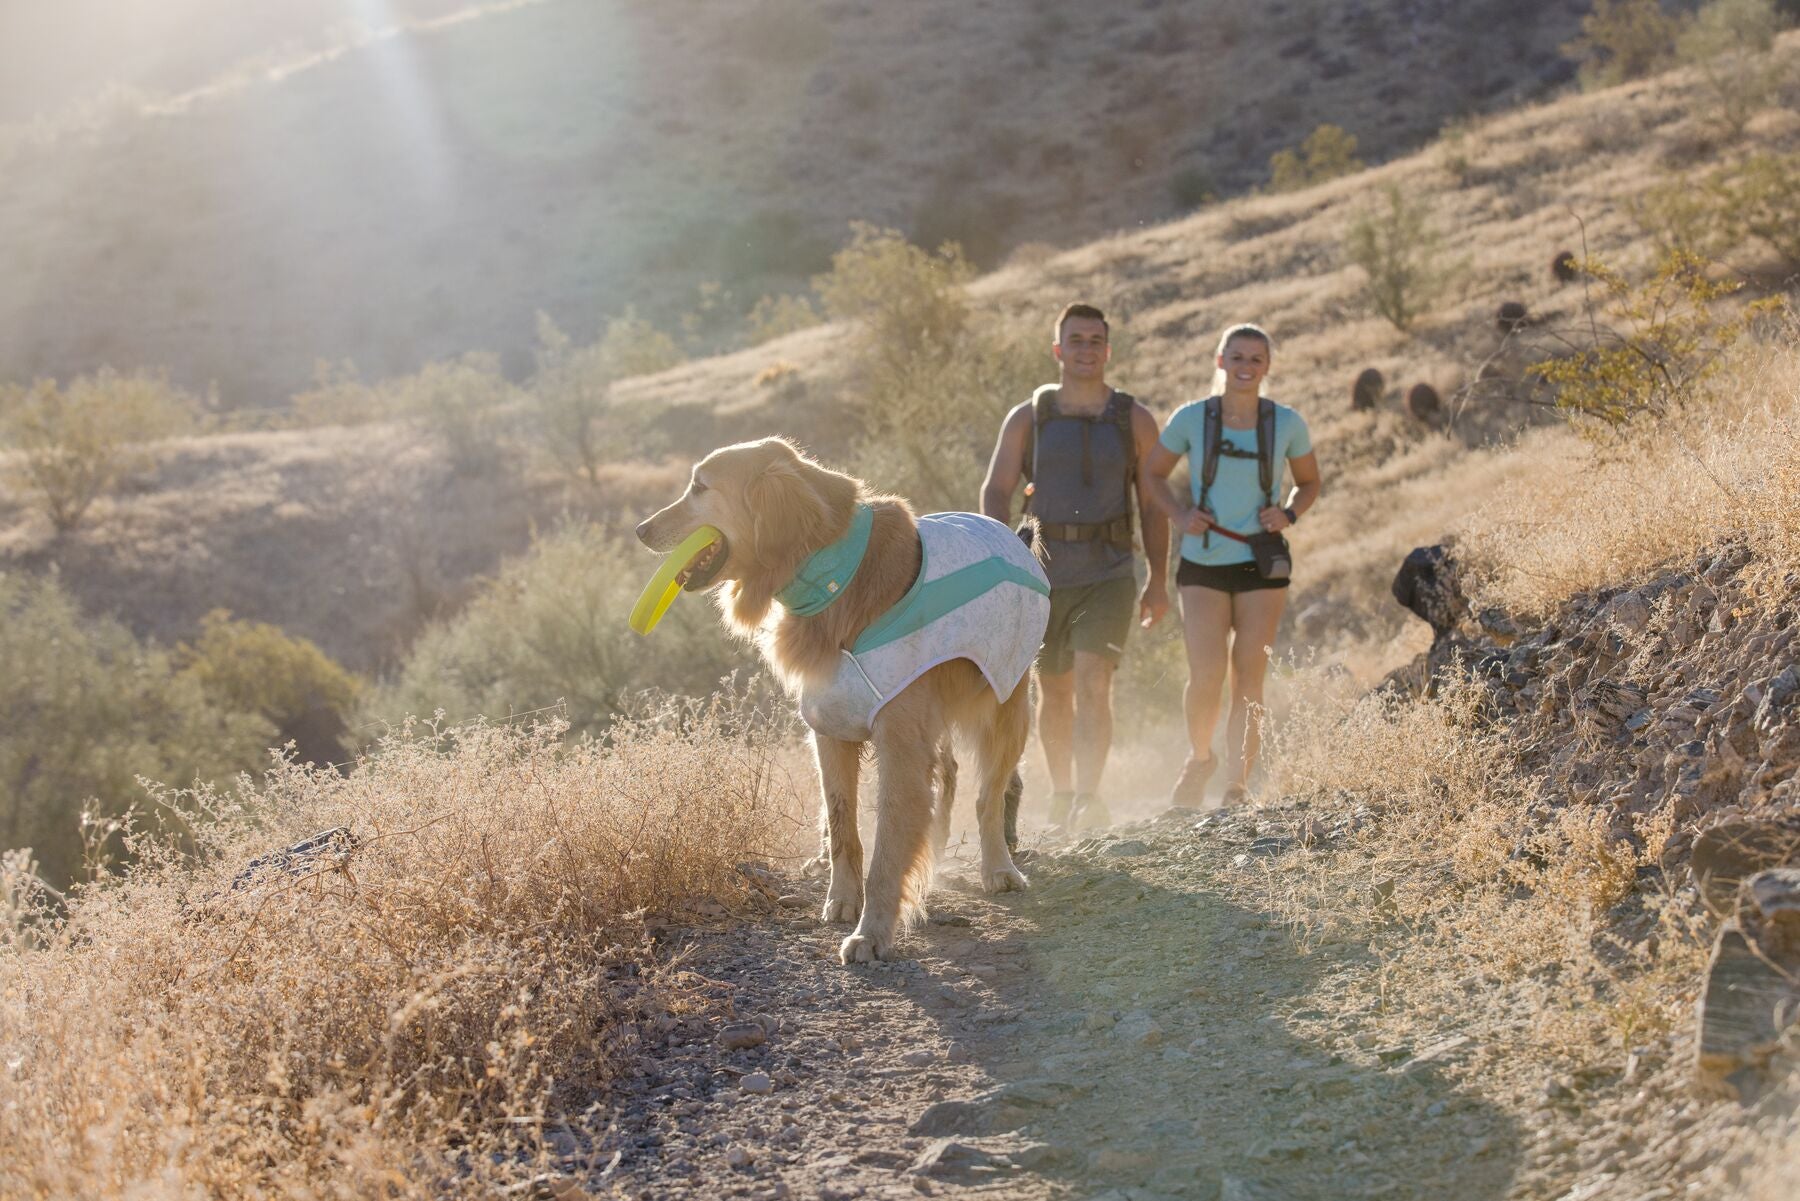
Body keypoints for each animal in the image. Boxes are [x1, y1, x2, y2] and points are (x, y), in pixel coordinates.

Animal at [637, 437, 1036, 965]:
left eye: (700, 487)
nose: (640, 530)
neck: (838, 576)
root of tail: (1014, 535)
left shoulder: (900, 744)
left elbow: (888, 848)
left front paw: (873, 932)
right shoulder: (830, 729)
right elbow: (843, 825)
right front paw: (844, 900)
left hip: (1006, 708)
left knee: (989, 795)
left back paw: (998, 867)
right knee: (949, 777)